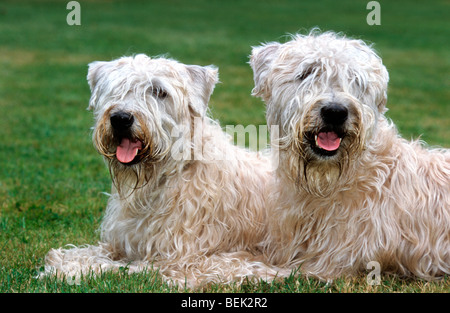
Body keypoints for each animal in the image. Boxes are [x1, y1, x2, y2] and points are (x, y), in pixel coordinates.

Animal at [42, 53, 282, 286]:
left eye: (159, 92)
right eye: (116, 88)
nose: (120, 118)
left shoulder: (179, 261)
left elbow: (117, 269)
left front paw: (68, 270)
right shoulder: (122, 242)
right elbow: (87, 253)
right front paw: (61, 260)